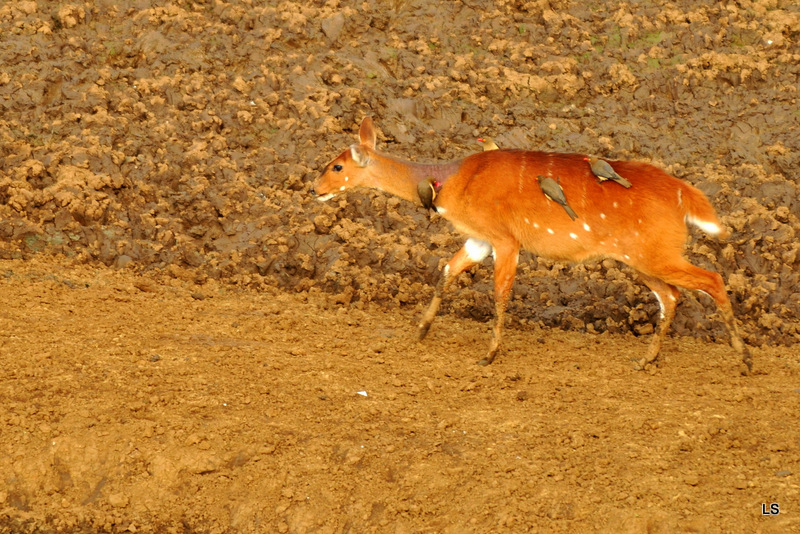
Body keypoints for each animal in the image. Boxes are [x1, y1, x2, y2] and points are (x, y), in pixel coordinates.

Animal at [310, 119, 752, 374]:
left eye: (336, 166)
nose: (314, 189)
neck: (450, 181)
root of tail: (685, 196)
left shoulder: (505, 239)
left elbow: (500, 293)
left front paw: (489, 355)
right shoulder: (478, 239)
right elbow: (446, 270)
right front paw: (420, 330)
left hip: (654, 253)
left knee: (711, 279)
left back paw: (744, 359)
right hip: (638, 259)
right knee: (672, 295)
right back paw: (646, 360)